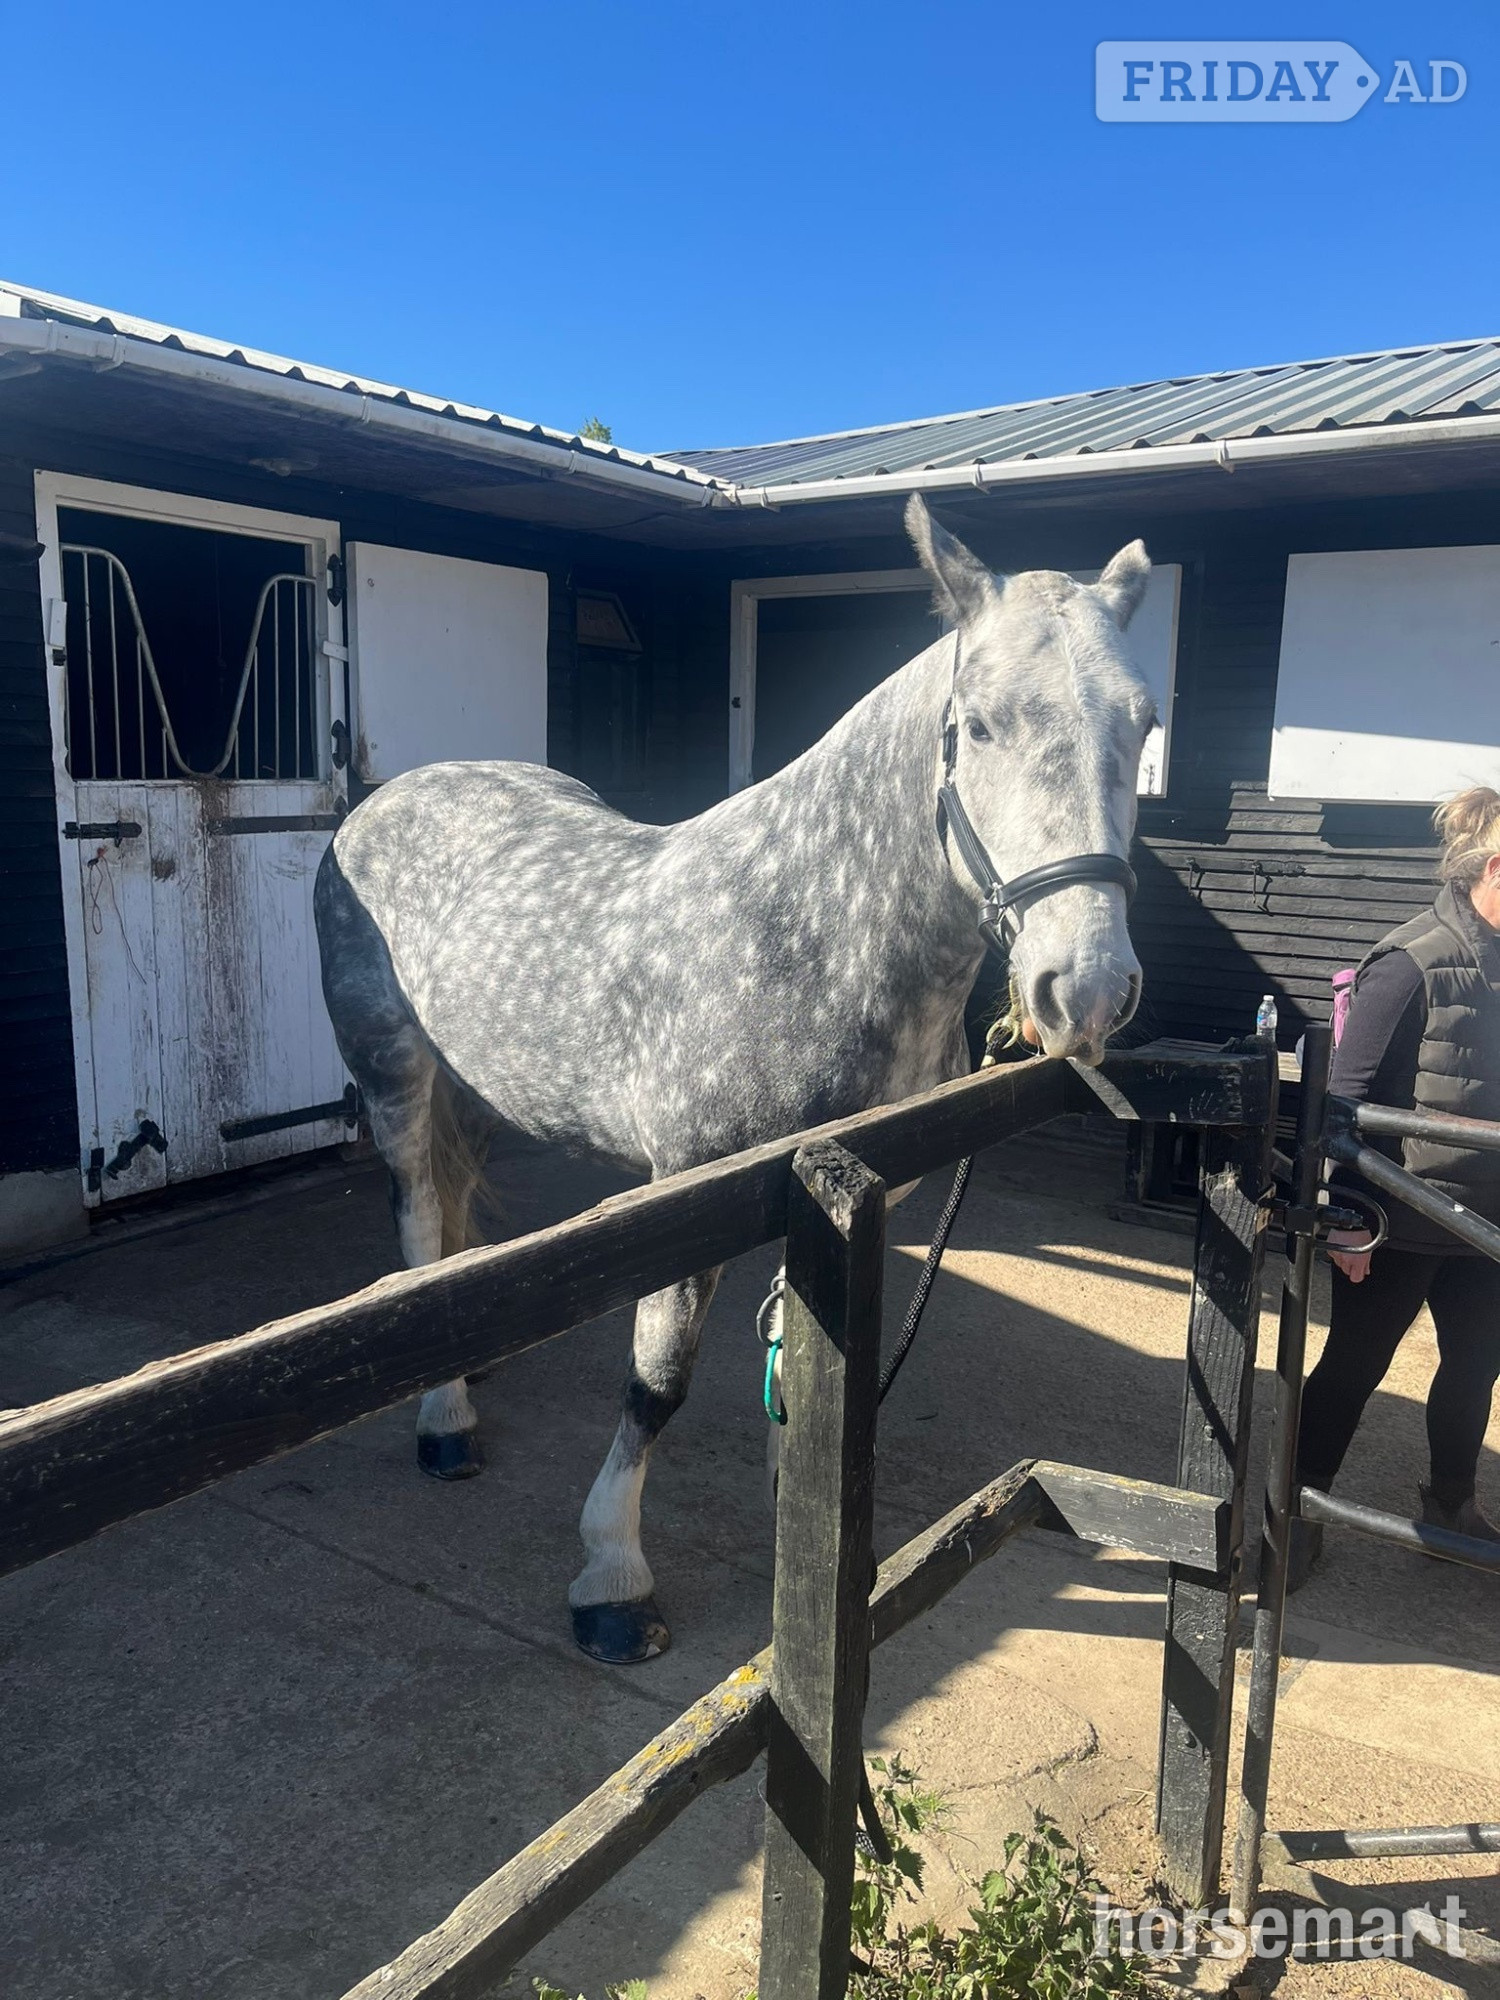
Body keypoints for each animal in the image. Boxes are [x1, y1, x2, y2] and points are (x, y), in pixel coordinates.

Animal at [314, 497, 1156, 1664]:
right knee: (416, 1215)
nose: (1087, 988)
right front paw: (612, 1579)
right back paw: (444, 1419)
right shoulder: (686, 1190)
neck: (806, 929)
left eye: (1146, 722)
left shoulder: (838, 1188)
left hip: (470, 1084)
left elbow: (802, 1355)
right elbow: (658, 1380)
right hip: (391, 1070)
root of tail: (385, 800)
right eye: (982, 724)